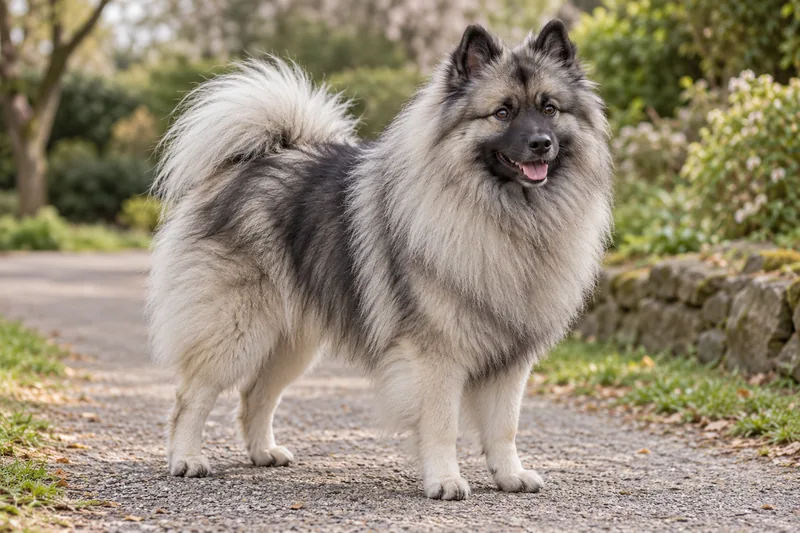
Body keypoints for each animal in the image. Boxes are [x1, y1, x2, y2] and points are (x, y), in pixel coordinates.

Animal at [148, 19, 612, 500]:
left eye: (550, 108)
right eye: (502, 113)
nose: (541, 143)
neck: (511, 218)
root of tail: (256, 159)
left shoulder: (511, 360)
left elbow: (505, 426)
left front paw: (509, 475)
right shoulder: (436, 356)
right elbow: (442, 424)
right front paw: (445, 480)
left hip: (291, 341)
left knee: (256, 394)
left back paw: (264, 452)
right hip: (235, 330)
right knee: (192, 396)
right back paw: (186, 458)